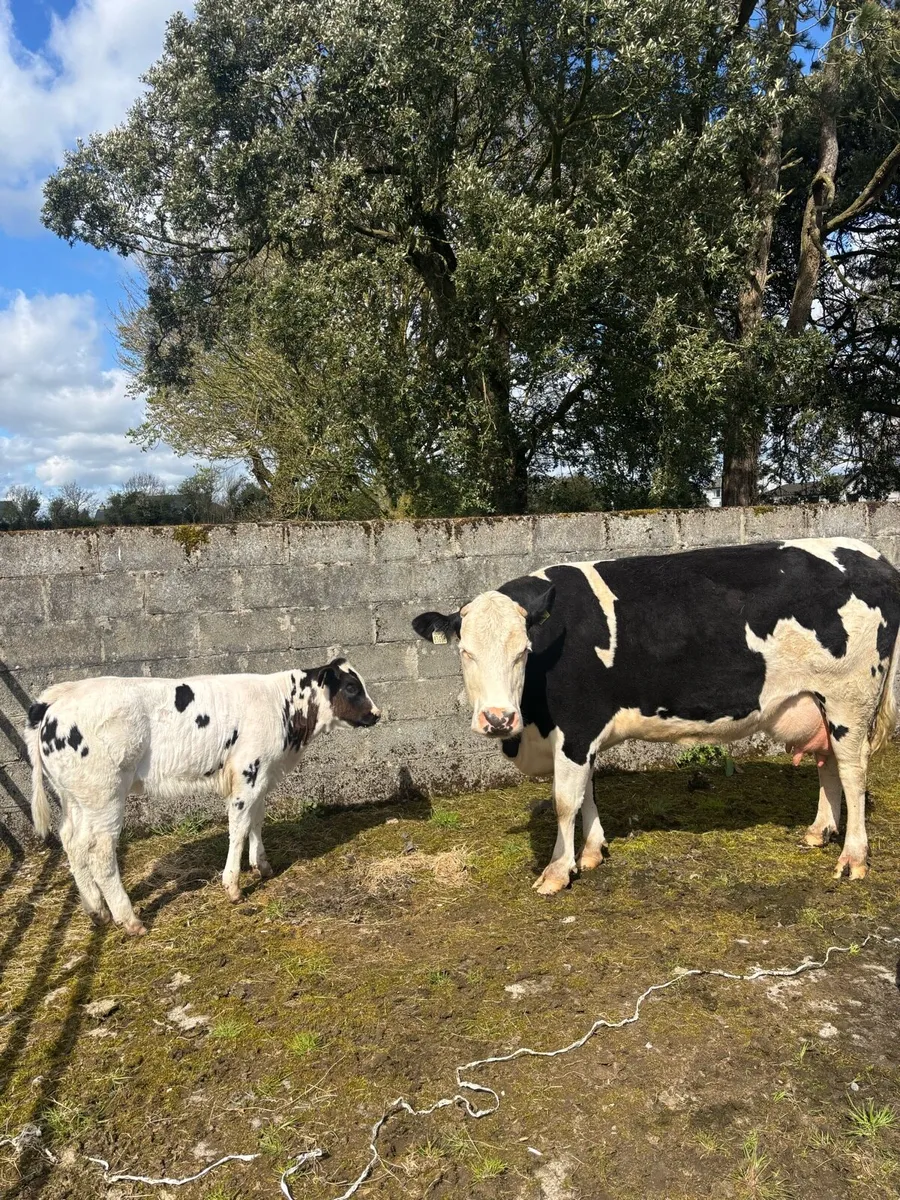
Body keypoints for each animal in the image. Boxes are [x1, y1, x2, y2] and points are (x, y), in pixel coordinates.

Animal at [24, 658, 379, 934]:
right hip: (105, 794)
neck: (282, 706)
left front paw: (262, 866)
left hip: (76, 797)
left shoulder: (262, 774)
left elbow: (256, 821)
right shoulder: (248, 772)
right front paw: (233, 886)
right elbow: (238, 828)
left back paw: (96, 910)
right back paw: (130, 920)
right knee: (100, 853)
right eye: (351, 687)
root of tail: (53, 702)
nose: (376, 714)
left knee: (72, 842)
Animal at [413, 537, 900, 895]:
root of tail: (874, 555)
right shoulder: (585, 735)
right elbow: (588, 792)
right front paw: (592, 851)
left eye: (523, 652)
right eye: (464, 651)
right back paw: (820, 831)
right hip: (818, 702)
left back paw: (854, 857)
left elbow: (565, 800)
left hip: (849, 699)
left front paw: (557, 870)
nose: (497, 719)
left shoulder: (576, 728)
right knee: (828, 762)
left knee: (853, 771)